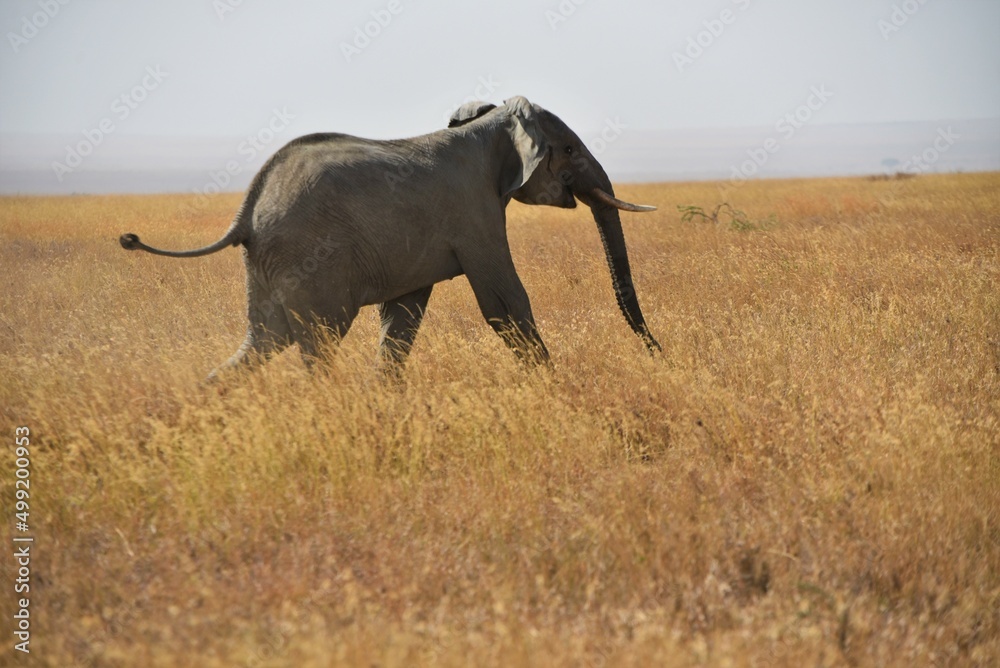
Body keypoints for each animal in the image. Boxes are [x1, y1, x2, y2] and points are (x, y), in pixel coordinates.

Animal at [120, 96, 660, 378]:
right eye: (568, 150)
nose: (658, 353)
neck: (488, 126)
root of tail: (247, 212)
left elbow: (402, 318)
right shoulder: (475, 213)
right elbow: (504, 300)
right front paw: (554, 384)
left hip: (270, 264)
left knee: (266, 340)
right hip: (309, 258)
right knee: (317, 339)